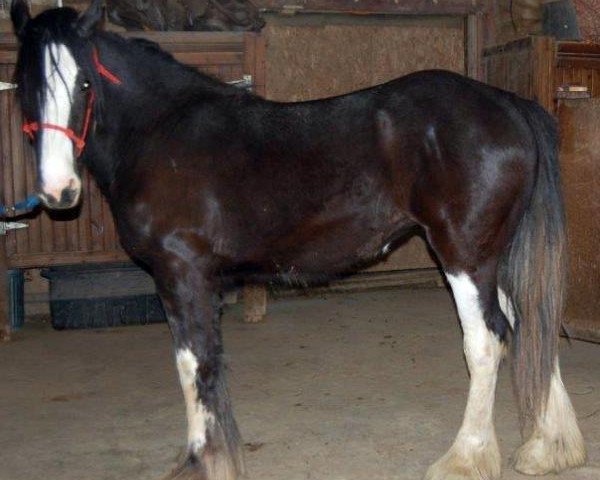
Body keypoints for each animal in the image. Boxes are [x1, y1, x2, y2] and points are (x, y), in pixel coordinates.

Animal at [7, 1, 584, 478]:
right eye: (24, 86)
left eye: (84, 84)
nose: (59, 191)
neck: (161, 133)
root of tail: (508, 104)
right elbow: (196, 363)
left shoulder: (182, 272)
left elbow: (195, 365)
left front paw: (205, 462)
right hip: (492, 259)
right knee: (529, 323)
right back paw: (547, 449)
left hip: (464, 256)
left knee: (487, 340)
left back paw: (464, 458)